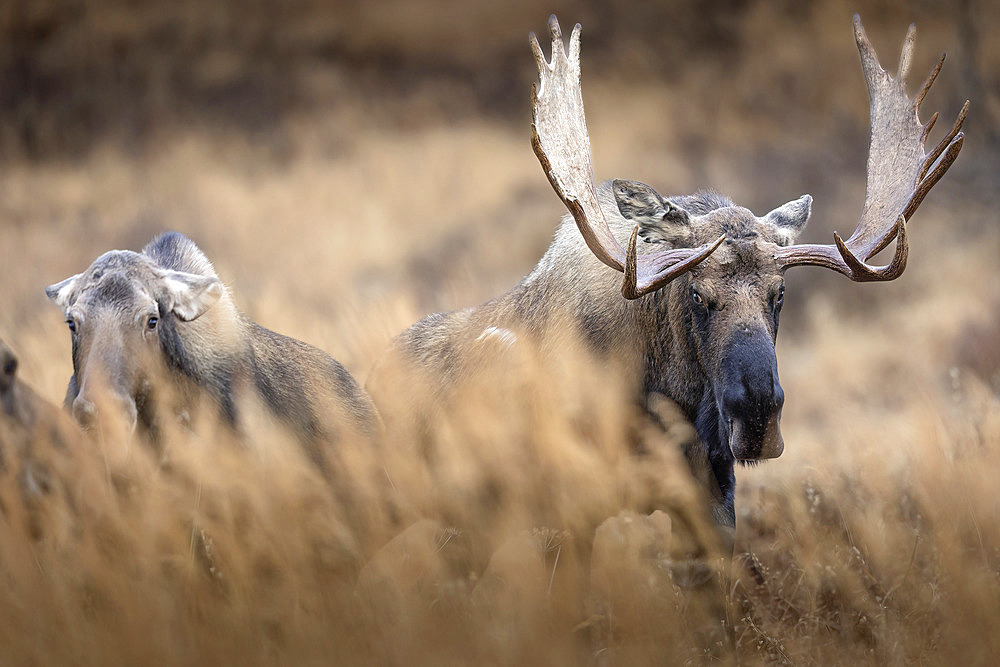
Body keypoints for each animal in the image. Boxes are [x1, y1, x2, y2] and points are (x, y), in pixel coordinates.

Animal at [366, 14, 960, 528]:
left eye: (781, 293)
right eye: (696, 294)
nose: (757, 416)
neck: (667, 401)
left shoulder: (712, 501)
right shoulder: (569, 511)